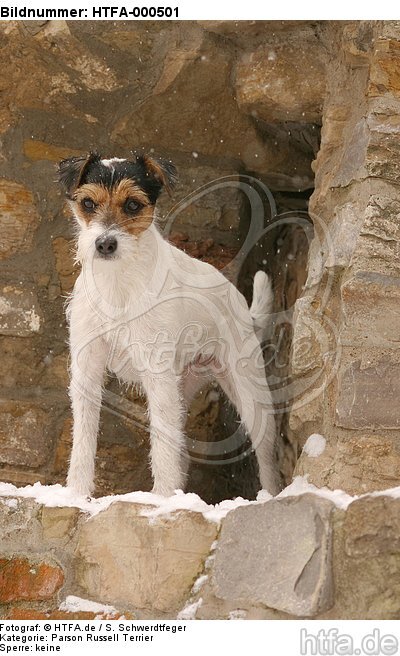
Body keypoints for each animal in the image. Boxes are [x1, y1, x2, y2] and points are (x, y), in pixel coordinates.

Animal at [57, 152, 280, 498]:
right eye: (88, 203)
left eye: (132, 205)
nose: (105, 244)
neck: (119, 283)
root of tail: (240, 303)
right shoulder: (87, 368)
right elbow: (83, 440)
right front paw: (77, 494)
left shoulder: (156, 372)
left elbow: (161, 446)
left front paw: (161, 498)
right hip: (181, 388)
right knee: (180, 447)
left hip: (247, 391)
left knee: (266, 452)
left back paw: (270, 494)